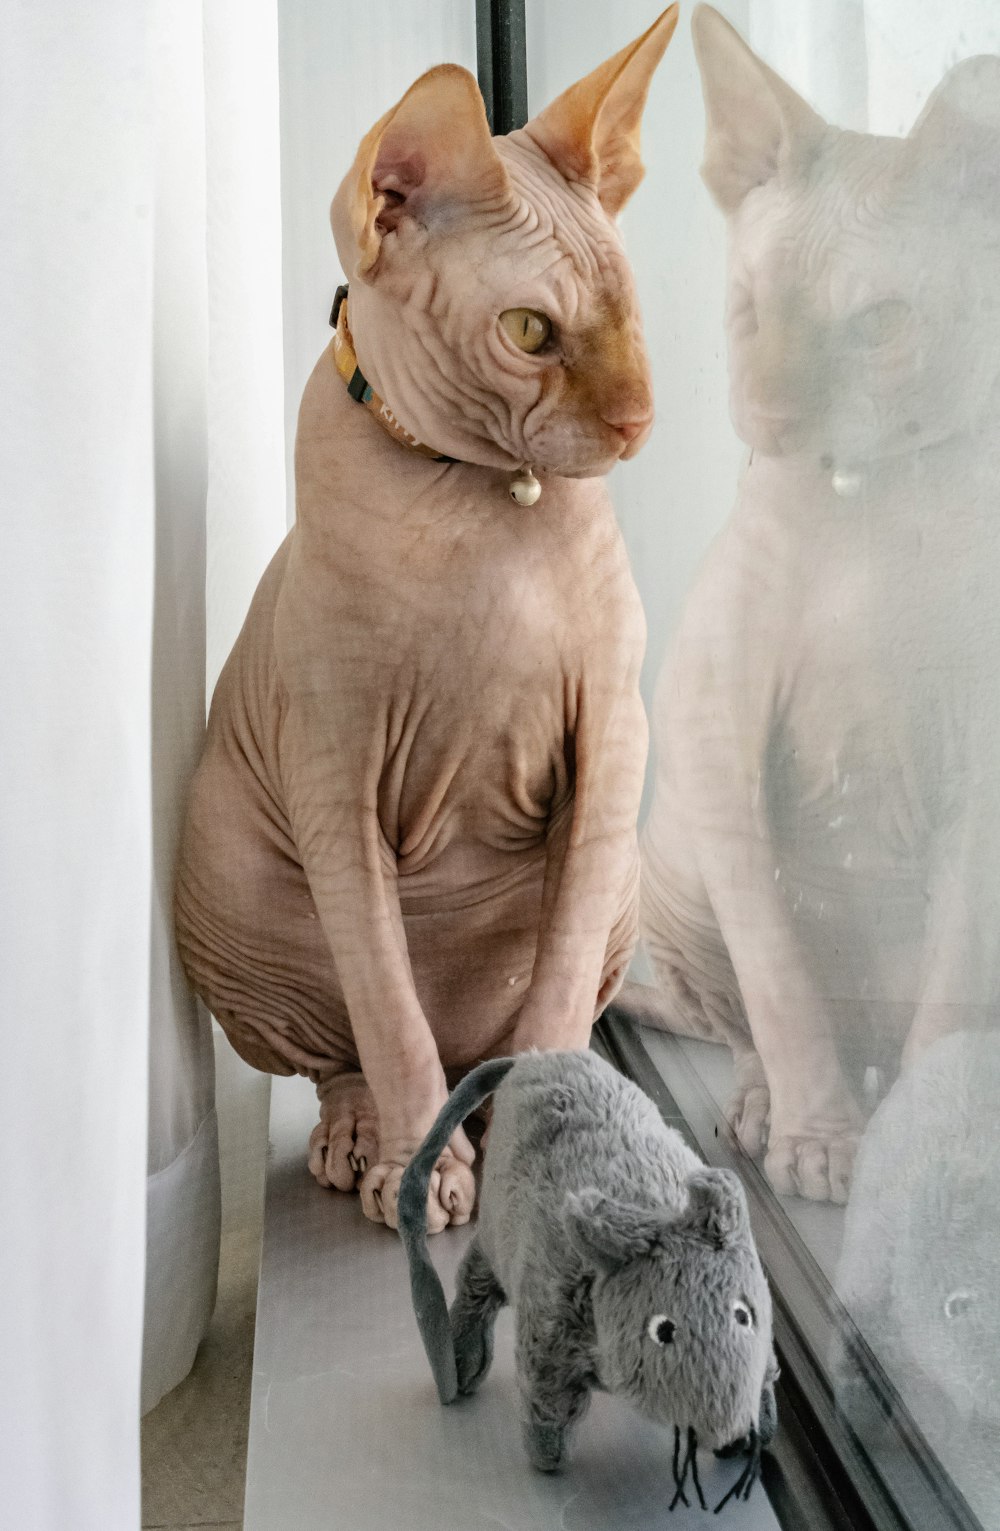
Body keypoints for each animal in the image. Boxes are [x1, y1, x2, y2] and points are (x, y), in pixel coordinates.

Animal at [177, 8, 679, 1230]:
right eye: (530, 332)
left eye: (629, 315)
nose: (640, 421)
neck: (477, 500)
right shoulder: (334, 773)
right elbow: (387, 1011)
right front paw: (419, 1164)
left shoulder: (611, 739)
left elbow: (555, 993)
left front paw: (550, 1138)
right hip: (231, 882)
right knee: (359, 1048)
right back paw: (370, 1132)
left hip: (618, 891)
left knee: (513, 1026)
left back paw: (497, 1111)